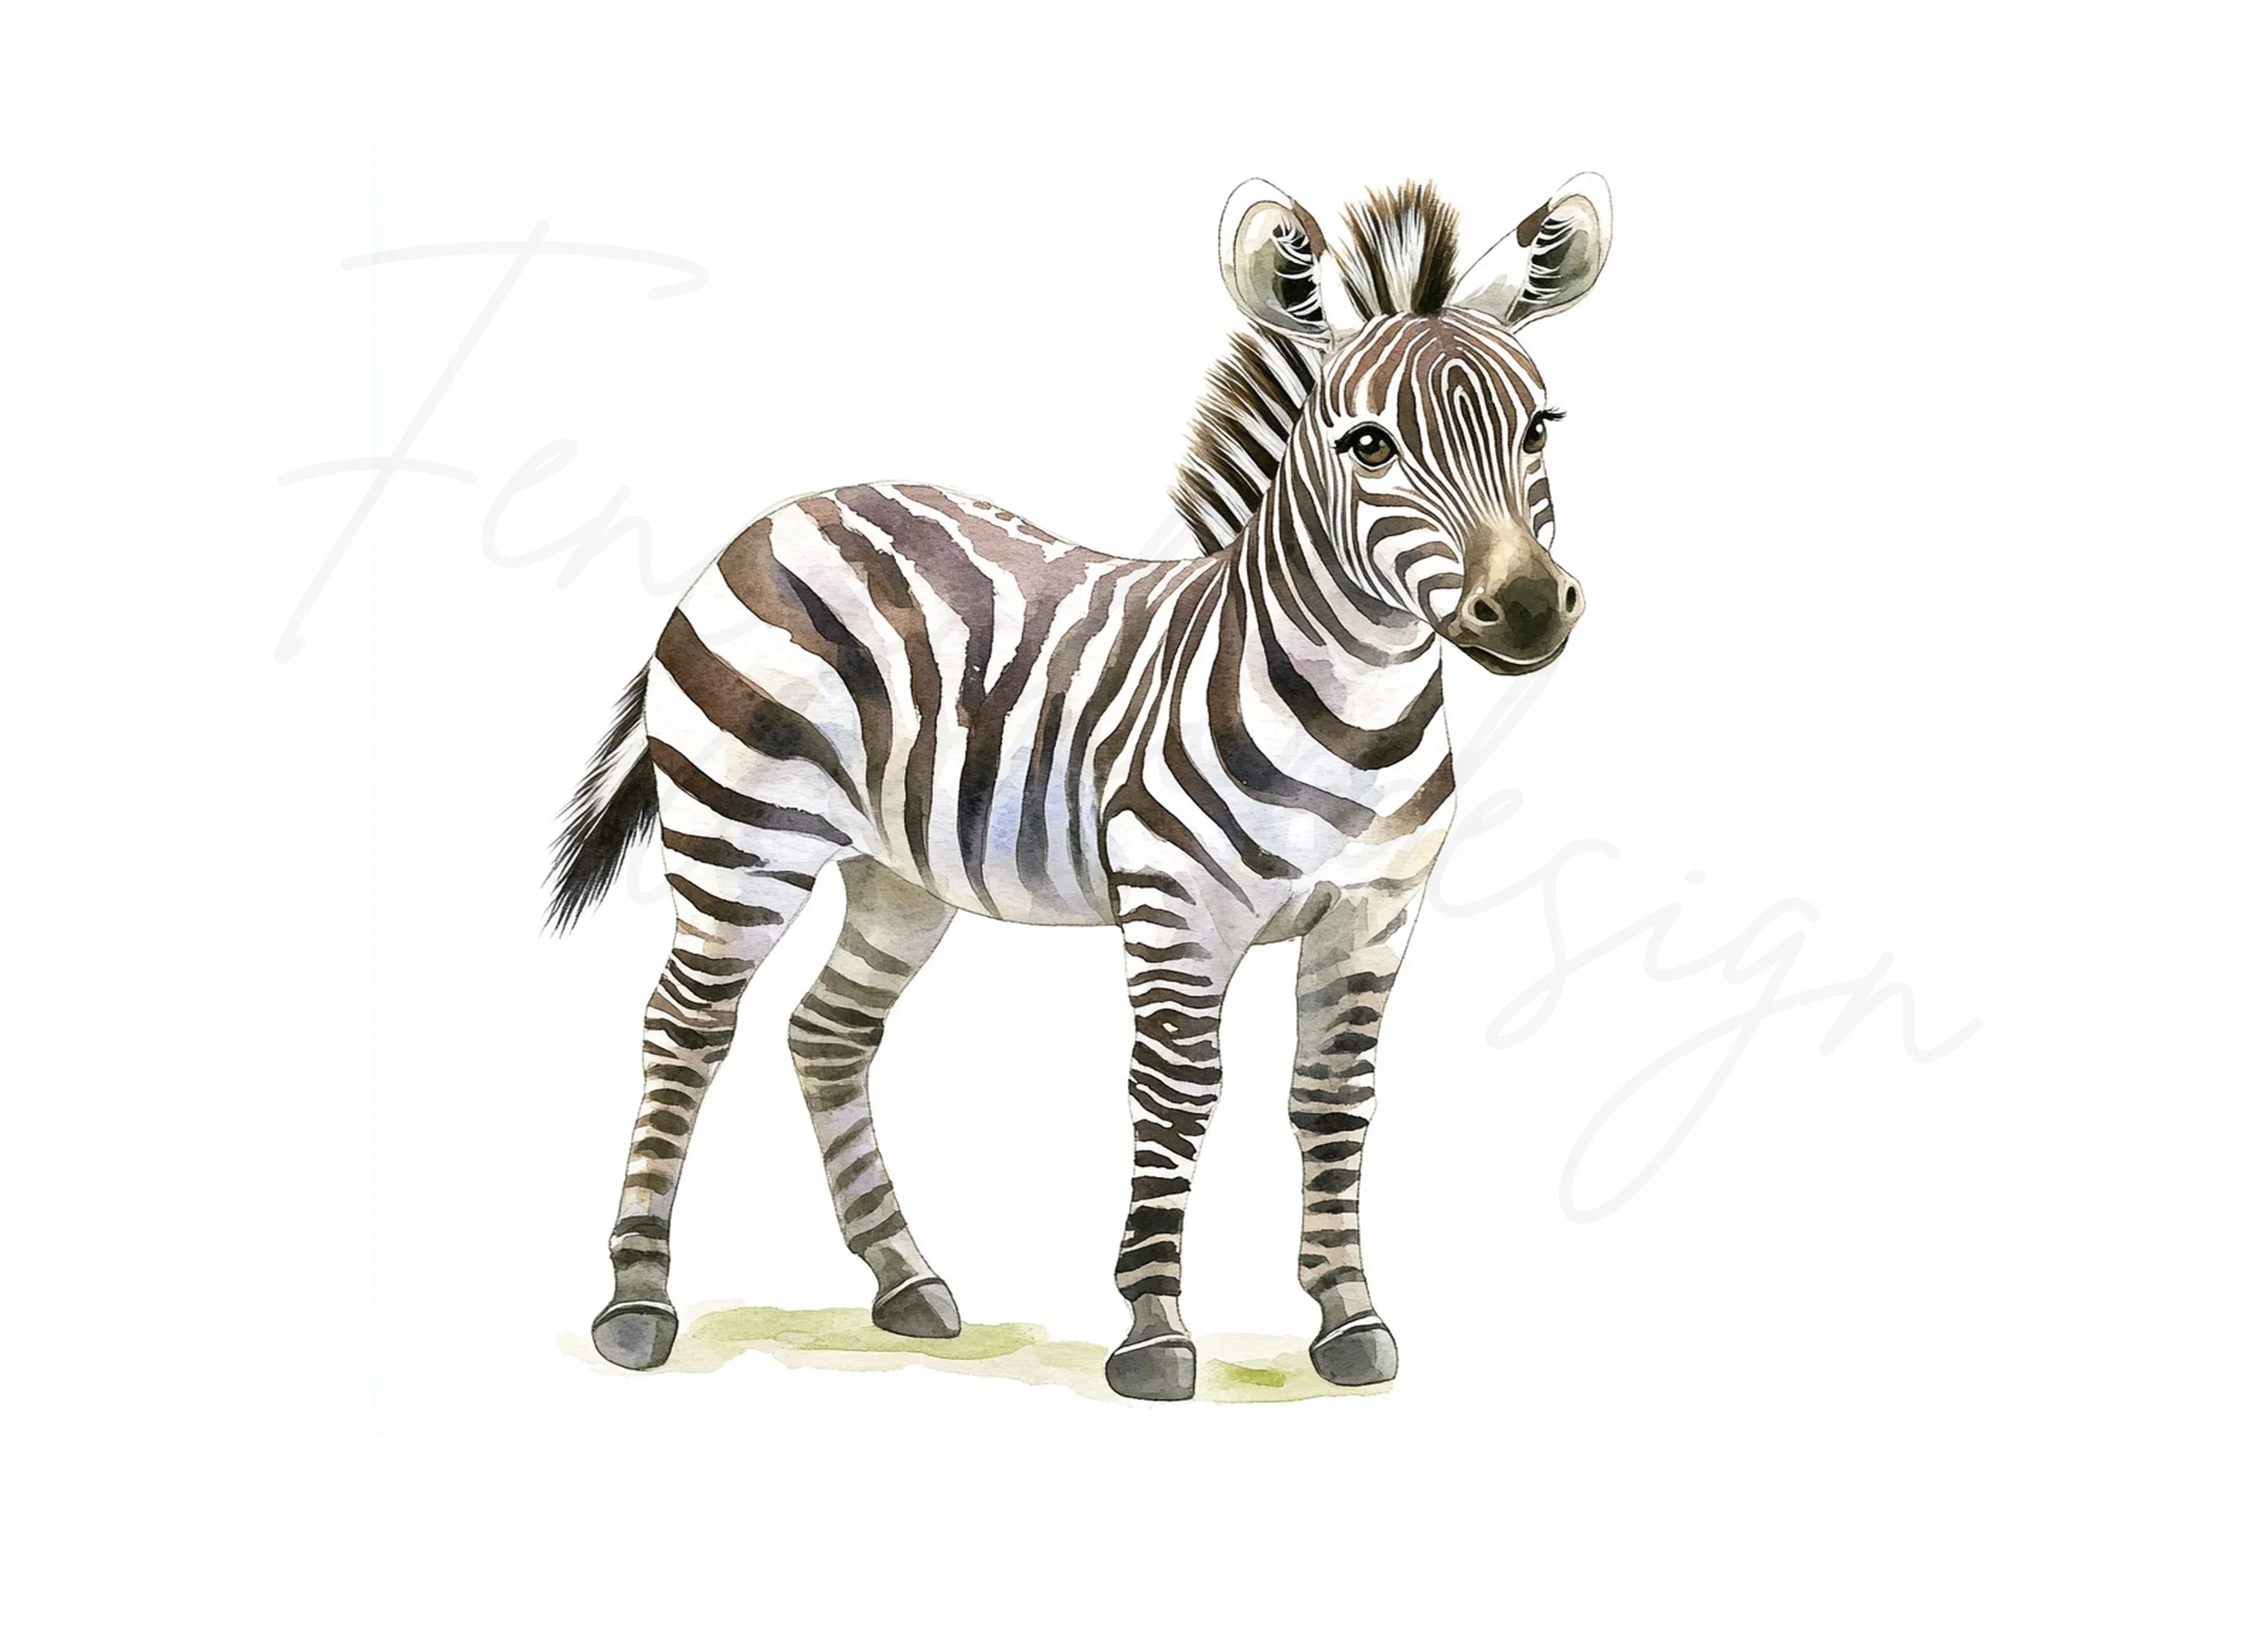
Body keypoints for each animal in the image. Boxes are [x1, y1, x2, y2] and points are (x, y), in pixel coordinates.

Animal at [551, 174, 1613, 1400]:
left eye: (1537, 428)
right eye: (1368, 444)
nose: (1527, 610)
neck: (1353, 718)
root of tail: (782, 516)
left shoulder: (1375, 912)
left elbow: (1333, 1099)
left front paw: (1349, 1316)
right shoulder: (1176, 910)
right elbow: (1176, 1090)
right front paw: (1152, 1331)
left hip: (896, 875)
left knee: (826, 1030)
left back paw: (904, 1276)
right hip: (741, 841)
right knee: (684, 1025)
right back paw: (636, 1300)